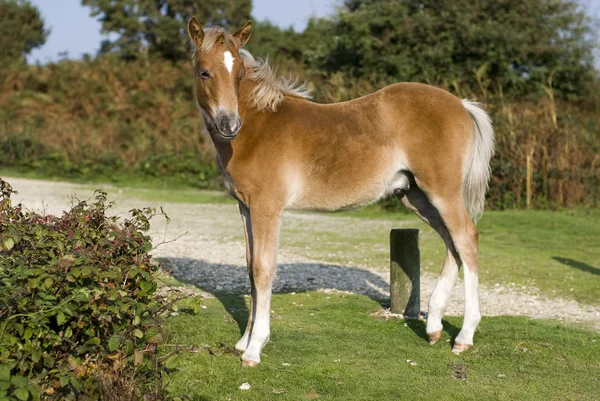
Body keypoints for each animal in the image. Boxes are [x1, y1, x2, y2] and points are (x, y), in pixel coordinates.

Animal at [189, 18, 496, 364]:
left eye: (240, 74)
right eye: (205, 72)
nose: (230, 125)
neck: (257, 127)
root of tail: (462, 104)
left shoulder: (267, 209)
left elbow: (263, 270)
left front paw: (254, 348)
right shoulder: (245, 208)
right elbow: (249, 268)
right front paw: (243, 341)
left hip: (442, 192)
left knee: (466, 239)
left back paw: (464, 337)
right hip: (416, 196)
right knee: (452, 244)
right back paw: (433, 327)